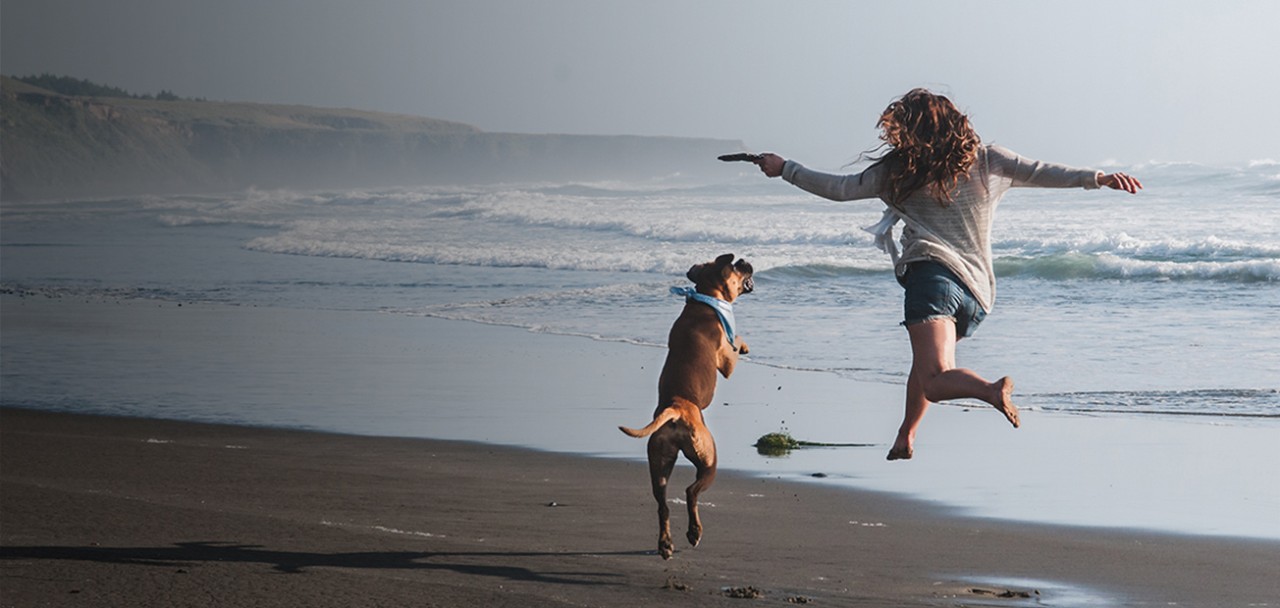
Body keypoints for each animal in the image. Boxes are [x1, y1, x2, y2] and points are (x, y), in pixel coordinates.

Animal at [616, 253, 747, 560]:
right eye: (737, 267)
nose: (746, 261)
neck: (705, 299)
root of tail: (676, 408)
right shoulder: (727, 361)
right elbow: (737, 343)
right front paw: (745, 345)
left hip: (659, 461)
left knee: (662, 503)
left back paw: (666, 544)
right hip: (709, 460)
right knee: (691, 491)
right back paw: (693, 532)